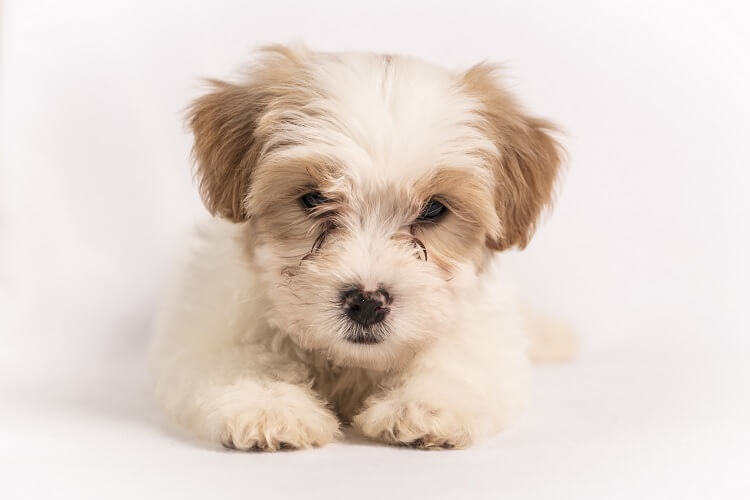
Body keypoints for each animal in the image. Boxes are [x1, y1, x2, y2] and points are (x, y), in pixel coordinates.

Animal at [154, 46, 576, 454]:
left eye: (433, 209)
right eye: (313, 199)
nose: (367, 302)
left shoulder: (480, 330)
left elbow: (457, 361)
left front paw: (425, 405)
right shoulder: (211, 328)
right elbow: (242, 359)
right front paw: (268, 405)